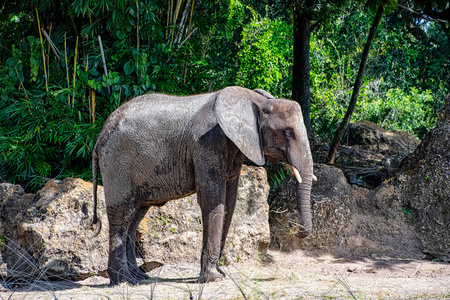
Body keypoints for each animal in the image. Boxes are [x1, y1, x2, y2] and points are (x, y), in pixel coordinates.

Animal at [92, 85, 314, 284]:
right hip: (118, 164)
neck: (257, 100)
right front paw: (213, 278)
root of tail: (99, 136)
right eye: (287, 133)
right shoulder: (207, 144)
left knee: (135, 216)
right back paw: (124, 280)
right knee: (122, 216)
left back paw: (140, 277)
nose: (298, 232)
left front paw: (220, 273)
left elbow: (229, 203)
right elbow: (213, 201)